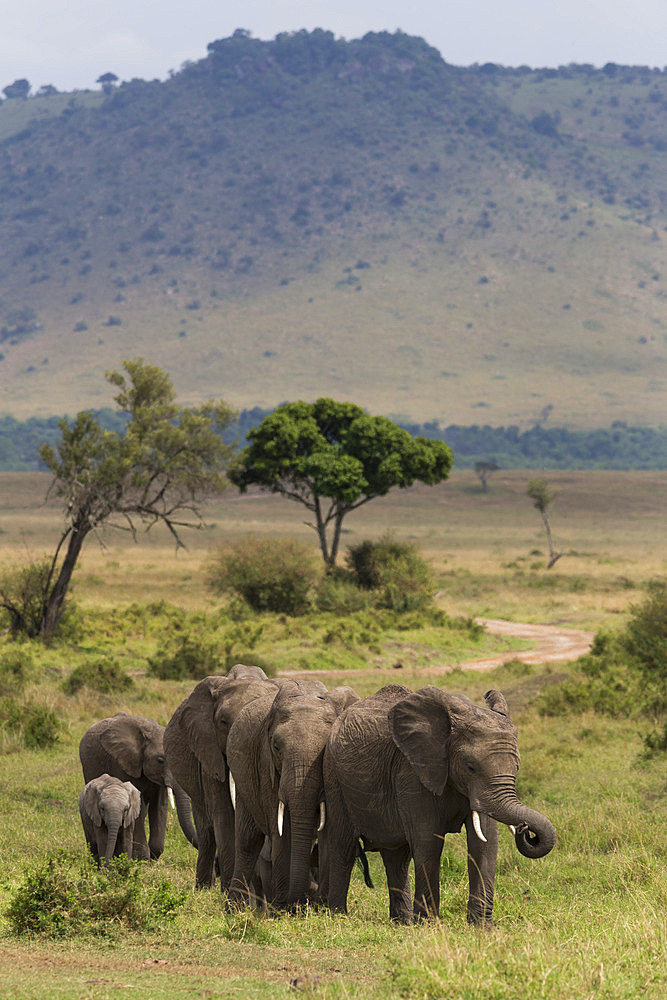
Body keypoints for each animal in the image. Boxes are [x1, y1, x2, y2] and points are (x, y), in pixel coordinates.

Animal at [81, 712, 194, 860]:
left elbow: (160, 807)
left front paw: (152, 857)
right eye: (160, 760)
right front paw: (142, 860)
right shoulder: (123, 764)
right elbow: (139, 809)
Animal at [163, 664, 280, 892]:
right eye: (224, 722)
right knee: (206, 831)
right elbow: (224, 814)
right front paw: (226, 890)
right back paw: (203, 888)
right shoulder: (208, 749)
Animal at [226, 680, 360, 908]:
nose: (299, 902)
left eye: (326, 749)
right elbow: (282, 833)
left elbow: (328, 831)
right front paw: (283, 909)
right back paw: (234, 909)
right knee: (247, 841)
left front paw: (319, 906)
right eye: (276, 747)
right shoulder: (266, 767)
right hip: (243, 782)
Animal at [320, 688, 556, 920]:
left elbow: (484, 842)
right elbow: (428, 842)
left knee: (396, 857)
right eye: (470, 767)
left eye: (517, 766)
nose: (525, 828)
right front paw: (428, 923)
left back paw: (401, 922)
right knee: (344, 846)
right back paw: (339, 915)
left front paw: (482, 926)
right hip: (334, 776)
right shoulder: (411, 772)